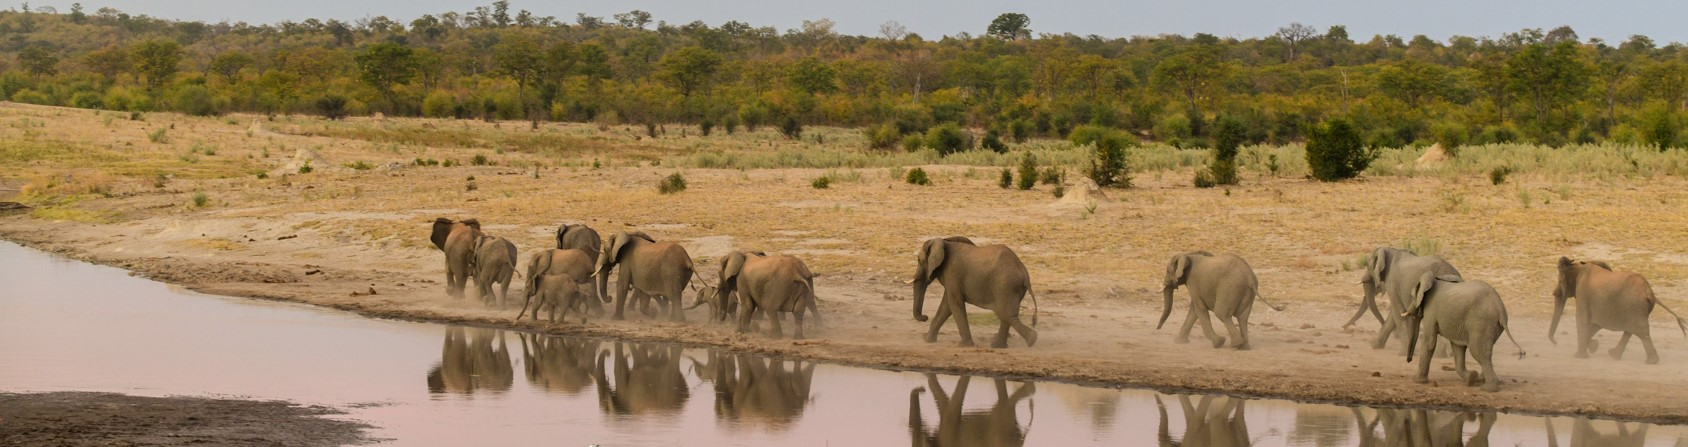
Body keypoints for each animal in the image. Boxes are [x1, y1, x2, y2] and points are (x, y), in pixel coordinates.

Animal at [911, 237, 1039, 348]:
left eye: (918, 260)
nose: (925, 317)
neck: (944, 242)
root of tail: (1024, 273)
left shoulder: (952, 273)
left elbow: (954, 303)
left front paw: (964, 345)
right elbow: (946, 306)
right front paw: (926, 339)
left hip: (1005, 286)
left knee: (1005, 313)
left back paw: (1032, 339)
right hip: (1011, 288)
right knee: (1007, 314)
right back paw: (998, 346)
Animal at [1551, 256, 1688, 364]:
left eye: (1559, 280)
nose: (1555, 343)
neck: (1577, 266)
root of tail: (1650, 293)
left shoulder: (1582, 293)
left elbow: (1582, 320)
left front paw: (1580, 356)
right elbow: (1595, 324)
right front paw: (1593, 346)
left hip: (1634, 306)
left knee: (1639, 331)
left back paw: (1651, 362)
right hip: (1637, 308)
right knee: (1631, 330)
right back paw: (1616, 355)